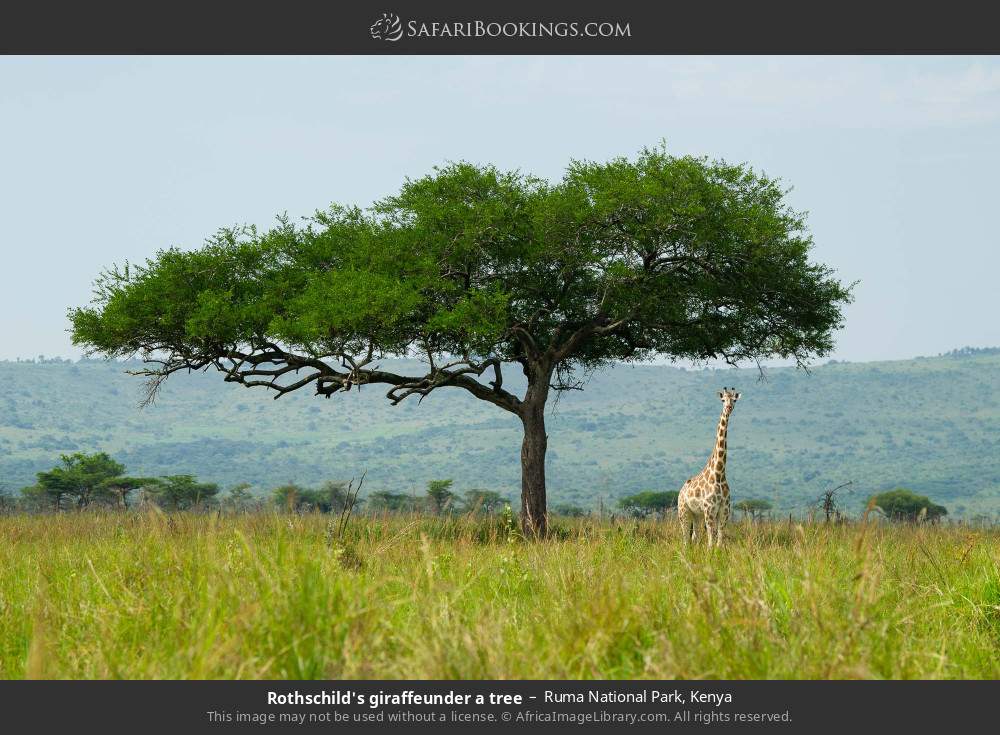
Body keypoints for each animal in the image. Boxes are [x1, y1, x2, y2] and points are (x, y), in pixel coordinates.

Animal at [676, 388, 740, 544]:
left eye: (734, 400)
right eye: (723, 400)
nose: (729, 408)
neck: (719, 473)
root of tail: (681, 490)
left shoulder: (724, 511)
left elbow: (719, 540)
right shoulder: (710, 510)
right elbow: (711, 540)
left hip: (697, 515)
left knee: (695, 536)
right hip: (684, 511)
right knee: (685, 538)